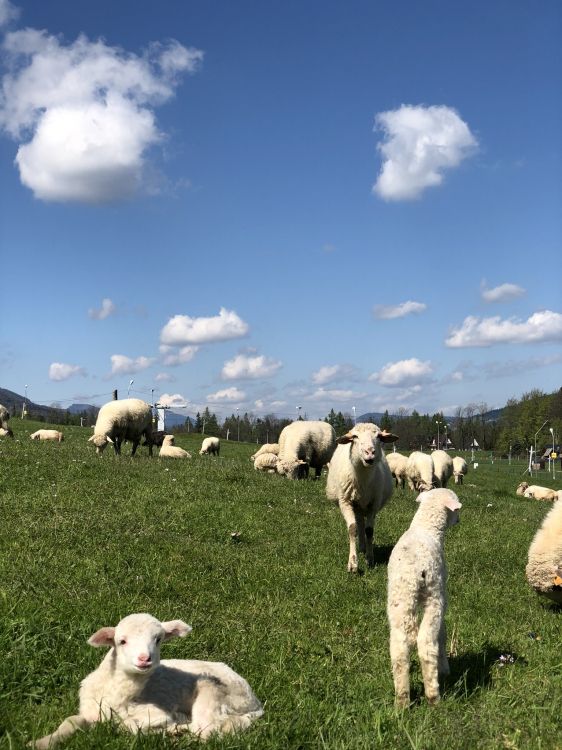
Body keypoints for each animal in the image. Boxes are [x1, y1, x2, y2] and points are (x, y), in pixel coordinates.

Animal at [30, 613, 263, 748]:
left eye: (158, 639)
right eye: (121, 641)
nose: (144, 659)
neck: (117, 696)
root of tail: (256, 702)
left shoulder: (157, 711)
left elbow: (130, 725)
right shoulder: (89, 709)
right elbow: (70, 721)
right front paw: (39, 742)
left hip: (215, 691)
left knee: (207, 730)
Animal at [326, 423, 398, 572]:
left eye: (379, 436)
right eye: (355, 437)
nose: (369, 452)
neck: (363, 479)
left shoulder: (373, 504)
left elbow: (369, 531)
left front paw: (370, 559)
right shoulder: (345, 502)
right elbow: (352, 529)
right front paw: (353, 563)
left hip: (364, 505)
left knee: (363, 525)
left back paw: (364, 548)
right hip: (356, 505)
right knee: (358, 523)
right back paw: (360, 548)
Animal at [387, 488, 462, 708]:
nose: (458, 520)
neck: (425, 528)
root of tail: (415, 572)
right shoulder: (441, 594)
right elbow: (442, 634)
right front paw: (445, 669)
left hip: (399, 601)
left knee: (399, 648)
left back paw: (402, 701)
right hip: (433, 597)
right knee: (427, 643)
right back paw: (433, 697)